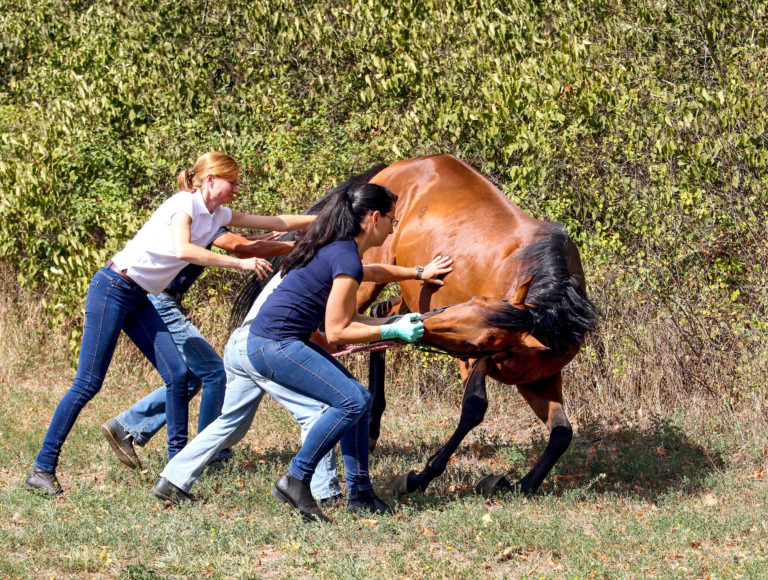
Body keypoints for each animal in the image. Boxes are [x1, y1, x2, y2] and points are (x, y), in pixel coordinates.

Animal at [232, 154, 597, 498]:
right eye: (473, 302)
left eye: (479, 339)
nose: (428, 324)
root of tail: (394, 169)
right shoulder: (477, 365)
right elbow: (474, 409)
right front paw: (419, 477)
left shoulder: (538, 378)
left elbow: (562, 433)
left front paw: (521, 484)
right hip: (365, 277)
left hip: (408, 297)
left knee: (380, 317)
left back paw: (370, 425)